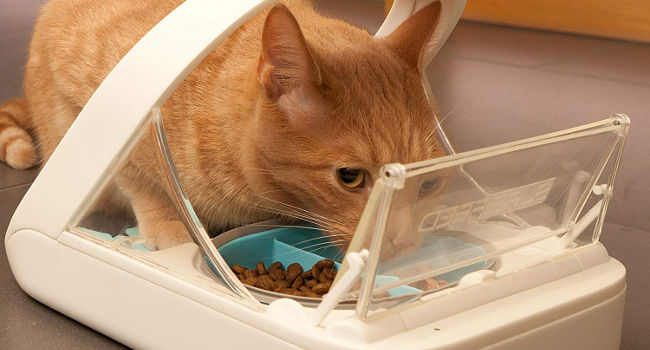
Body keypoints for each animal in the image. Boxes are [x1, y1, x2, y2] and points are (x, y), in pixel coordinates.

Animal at [0, 0, 442, 252]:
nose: (404, 243)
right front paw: (168, 225)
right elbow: (137, 178)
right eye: (350, 177)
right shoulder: (87, 100)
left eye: (430, 182)